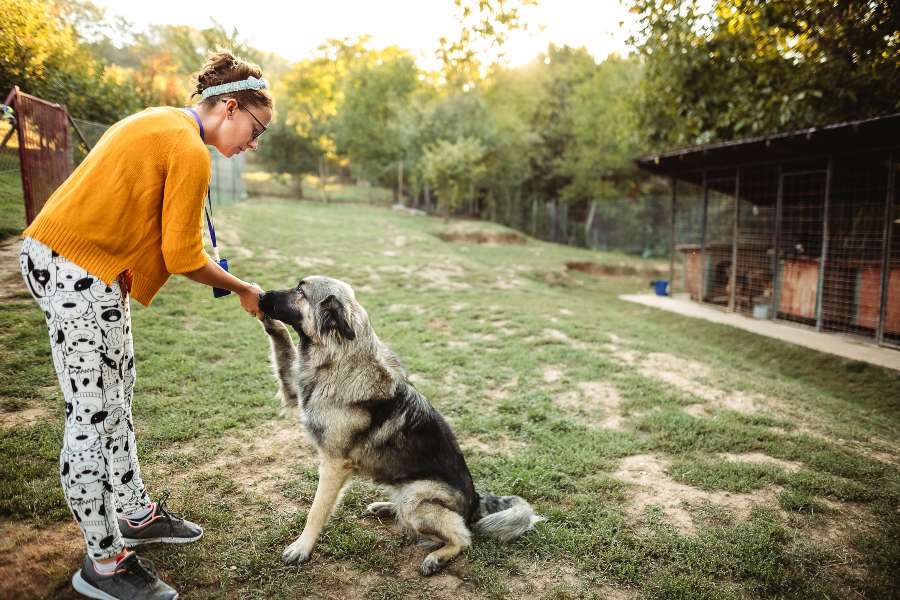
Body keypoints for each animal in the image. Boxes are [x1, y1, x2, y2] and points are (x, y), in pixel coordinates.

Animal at [256, 276, 544, 576]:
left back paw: (437, 557)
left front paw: (302, 547)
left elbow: (317, 510)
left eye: (300, 291)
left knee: (463, 536)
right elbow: (284, 349)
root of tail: (475, 499)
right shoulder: (293, 391)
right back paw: (386, 508)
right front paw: (270, 323)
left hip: (416, 499)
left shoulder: (334, 465)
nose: (262, 296)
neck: (339, 358)